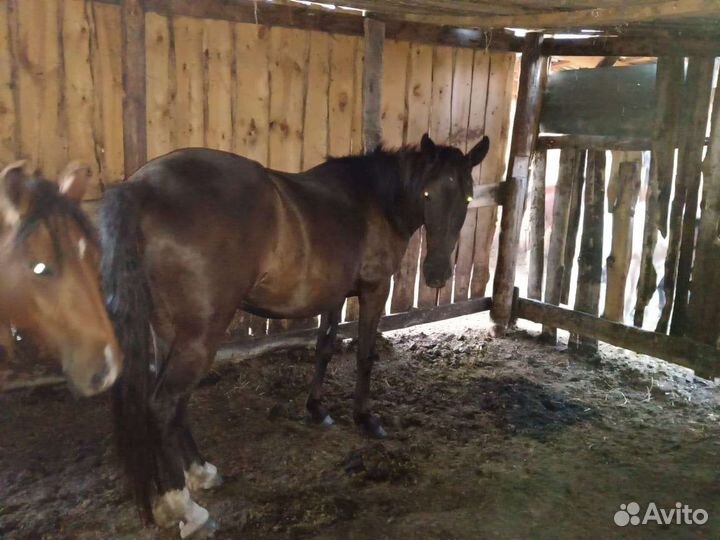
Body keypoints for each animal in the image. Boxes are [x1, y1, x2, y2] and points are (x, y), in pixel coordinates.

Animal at [102, 133, 490, 537]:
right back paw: (188, 510)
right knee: (164, 405)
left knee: (175, 404)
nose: (437, 274)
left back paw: (199, 473)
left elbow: (325, 347)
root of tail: (139, 189)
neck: (372, 198)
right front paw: (365, 418)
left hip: (169, 331)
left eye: (466, 196)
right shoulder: (374, 290)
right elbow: (364, 354)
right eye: (427, 194)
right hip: (199, 335)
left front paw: (317, 409)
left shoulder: (335, 296)